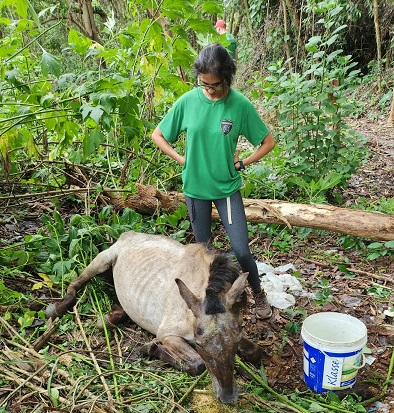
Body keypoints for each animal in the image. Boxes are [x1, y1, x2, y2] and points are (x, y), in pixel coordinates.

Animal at [44, 230, 264, 404]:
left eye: (235, 339)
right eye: (200, 344)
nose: (228, 397)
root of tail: (128, 235)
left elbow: (255, 351)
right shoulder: (167, 333)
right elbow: (197, 364)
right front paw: (150, 348)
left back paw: (108, 318)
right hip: (102, 259)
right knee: (75, 283)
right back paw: (57, 308)